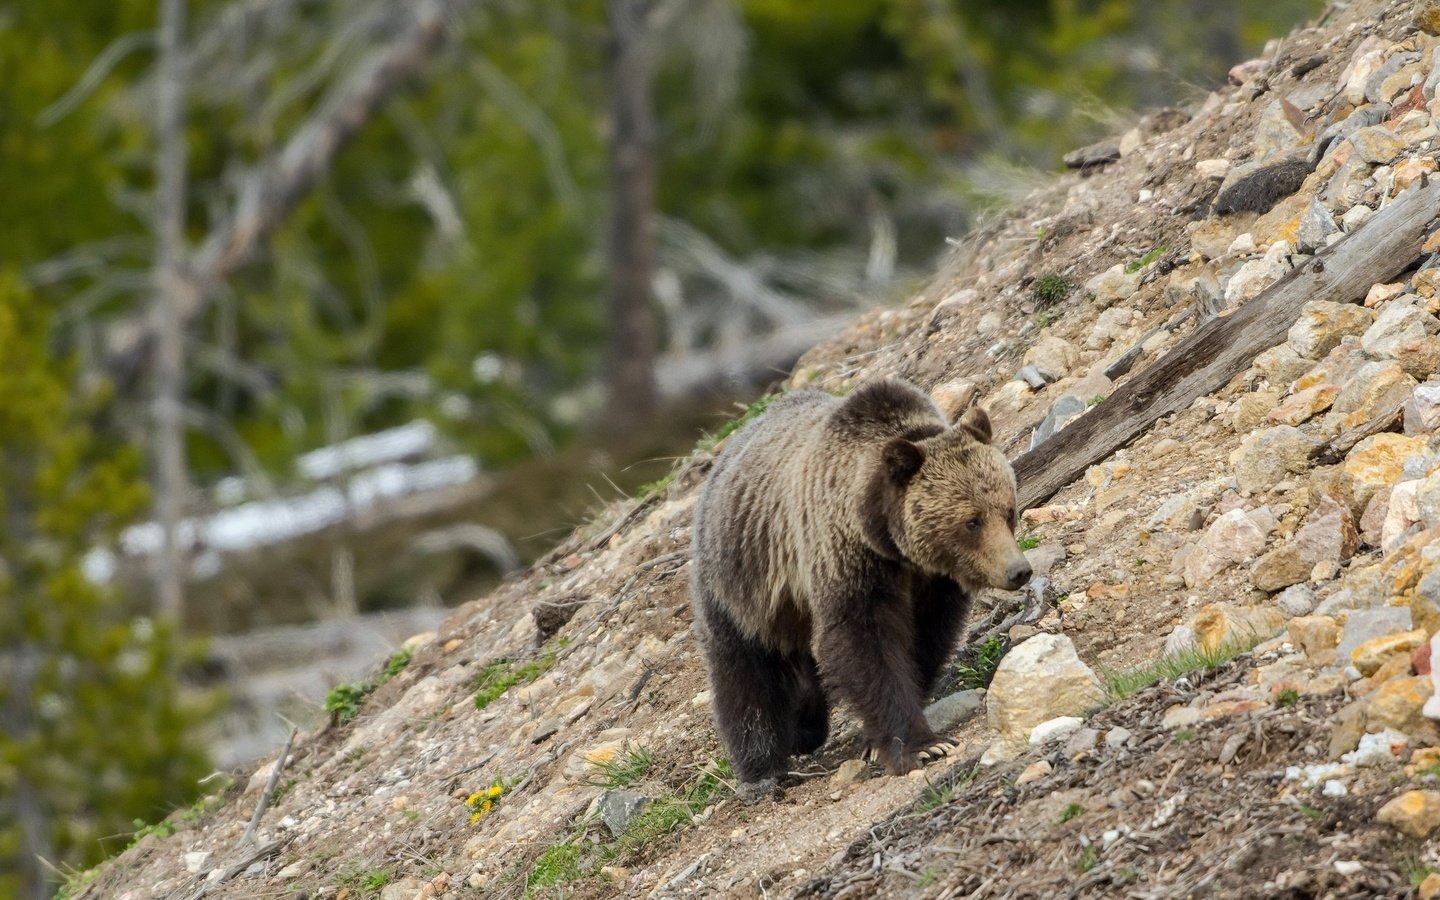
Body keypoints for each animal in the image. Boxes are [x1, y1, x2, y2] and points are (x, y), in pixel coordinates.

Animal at [691, 374, 1031, 794]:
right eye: (972, 521)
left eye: (1008, 511)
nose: (1018, 570)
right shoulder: (845, 557)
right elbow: (865, 645)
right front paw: (921, 746)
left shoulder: (932, 582)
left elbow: (925, 637)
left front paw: (881, 736)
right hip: (740, 585)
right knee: (744, 673)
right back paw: (762, 768)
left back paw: (805, 727)